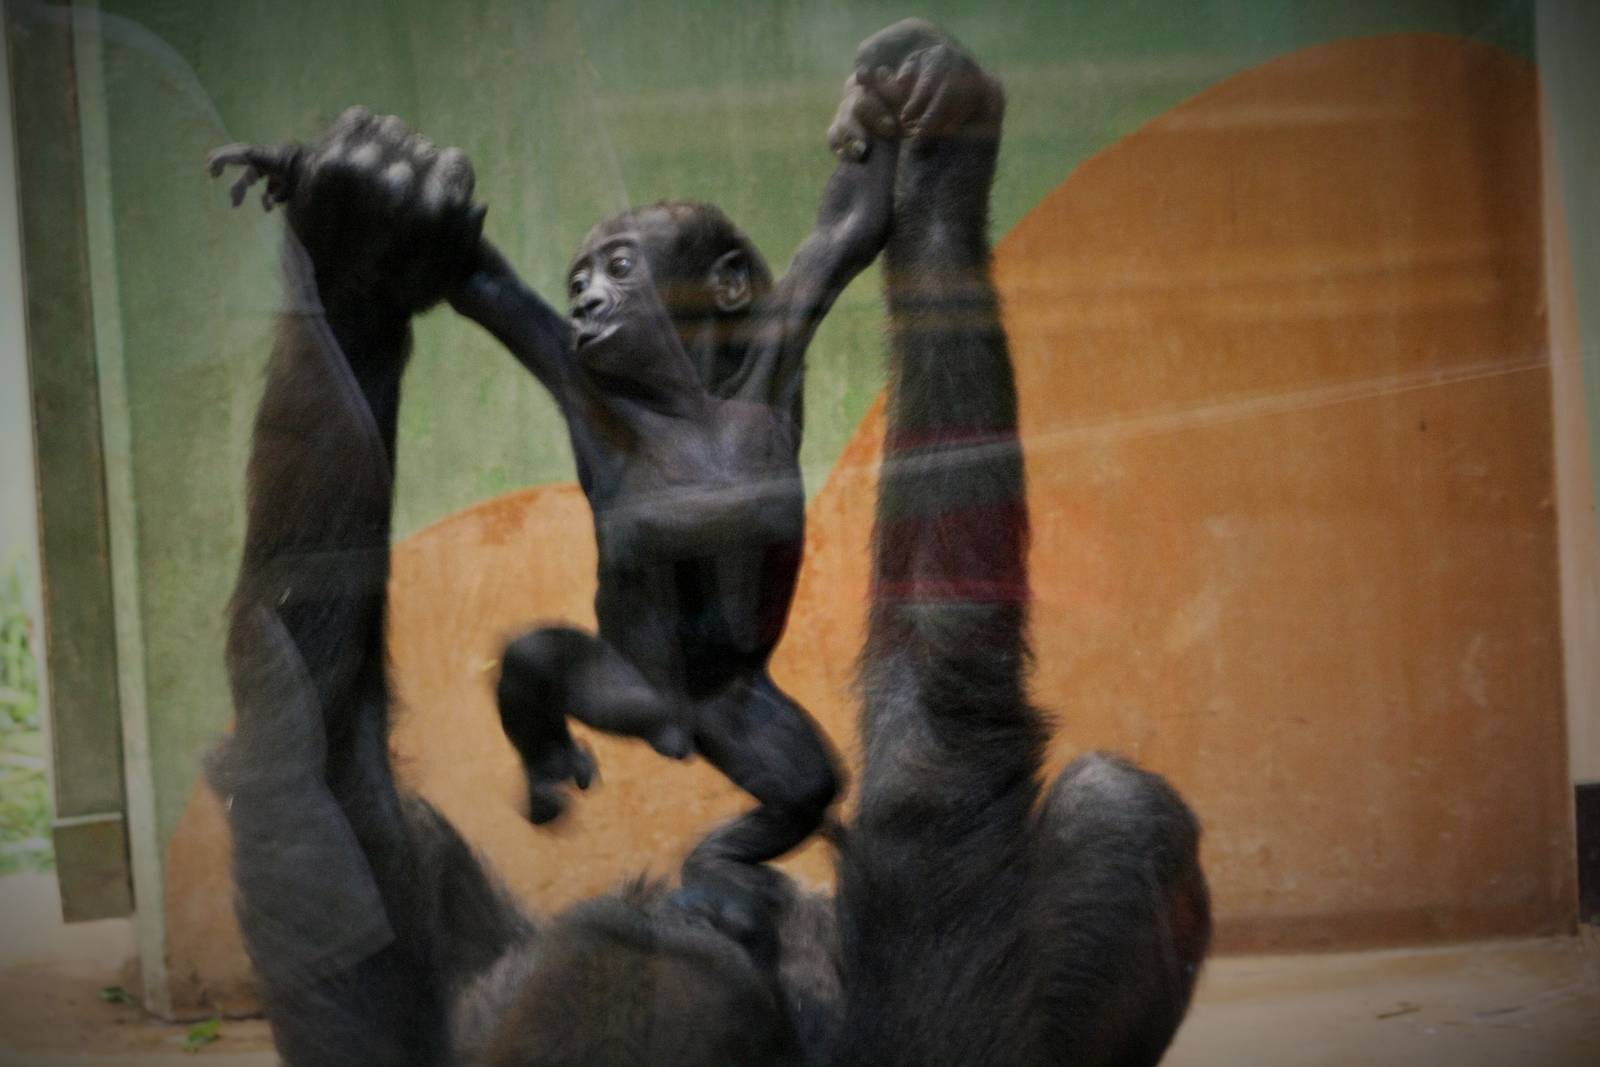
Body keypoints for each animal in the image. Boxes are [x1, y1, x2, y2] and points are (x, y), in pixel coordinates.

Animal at [208, 19, 1209, 1066]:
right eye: (574, 280)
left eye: (618, 266)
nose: (589, 301)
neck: (682, 394)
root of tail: (675, 726)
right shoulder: (573, 370)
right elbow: (489, 291)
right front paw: (352, 213)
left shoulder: (777, 338)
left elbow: (844, 232)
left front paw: (913, 120)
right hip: (622, 685)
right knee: (534, 665)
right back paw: (551, 766)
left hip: (743, 721)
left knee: (803, 782)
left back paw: (722, 861)